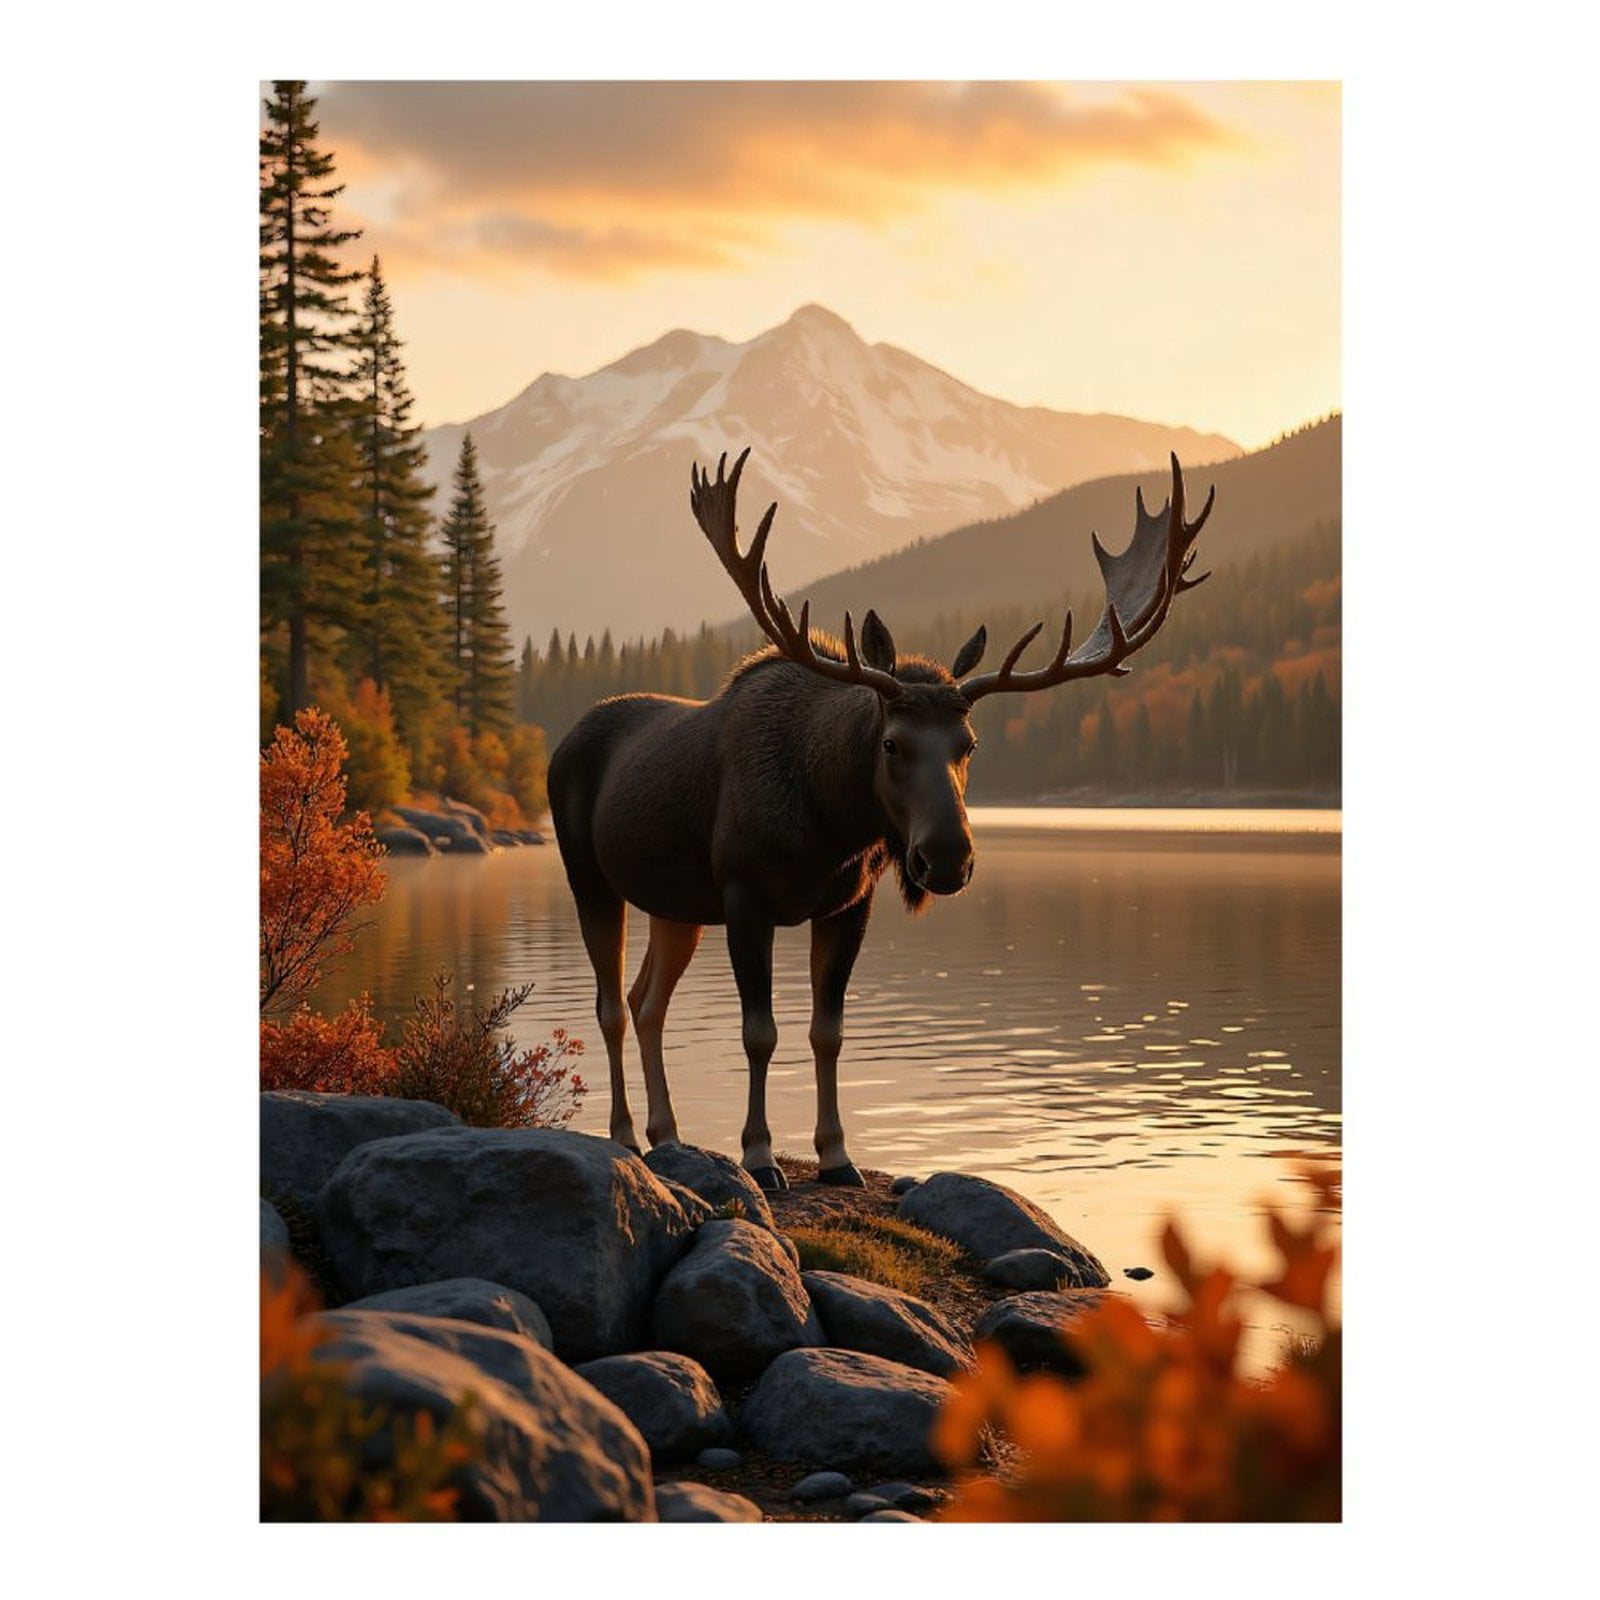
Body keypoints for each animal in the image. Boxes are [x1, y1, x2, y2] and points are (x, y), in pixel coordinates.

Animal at [548, 447, 1214, 1191]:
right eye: (893, 743)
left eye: (970, 745)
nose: (947, 857)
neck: (828, 822)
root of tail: (563, 739)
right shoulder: (746, 894)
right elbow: (760, 1032)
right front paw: (760, 1155)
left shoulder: (849, 902)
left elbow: (826, 1031)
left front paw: (837, 1156)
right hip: (590, 878)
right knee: (610, 1007)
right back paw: (624, 1135)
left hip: (677, 905)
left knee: (647, 1002)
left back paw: (666, 1133)